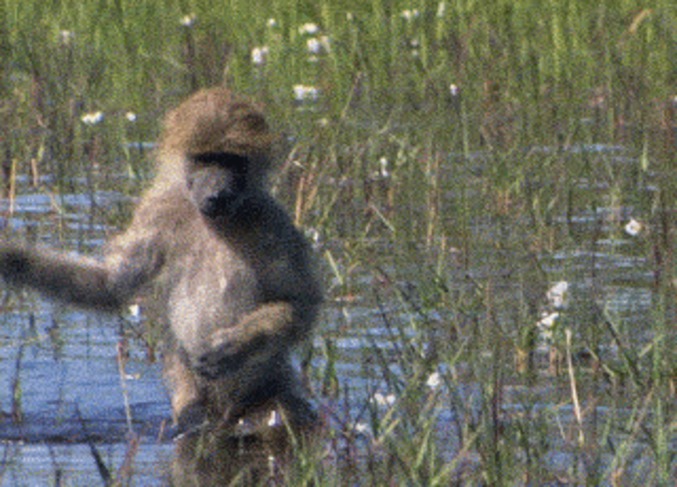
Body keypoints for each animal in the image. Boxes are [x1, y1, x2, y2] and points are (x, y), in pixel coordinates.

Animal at [0, 87, 323, 437]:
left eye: (230, 161)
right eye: (205, 159)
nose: (218, 191)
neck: (214, 222)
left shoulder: (272, 221)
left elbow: (301, 303)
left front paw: (235, 345)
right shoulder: (158, 210)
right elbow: (109, 286)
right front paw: (11, 257)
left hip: (268, 384)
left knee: (280, 415)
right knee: (193, 422)